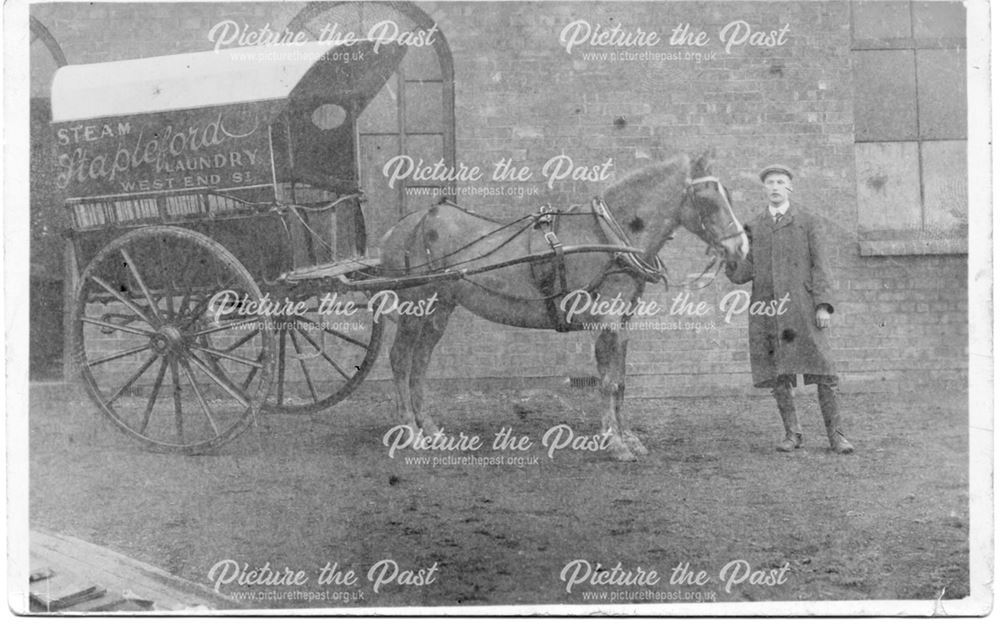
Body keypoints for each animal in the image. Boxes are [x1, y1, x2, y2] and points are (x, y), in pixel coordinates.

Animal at [378, 153, 748, 460]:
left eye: (729, 196)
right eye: (708, 199)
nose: (739, 248)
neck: (608, 237)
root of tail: (403, 226)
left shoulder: (623, 322)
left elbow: (621, 380)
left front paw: (628, 437)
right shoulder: (607, 320)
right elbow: (608, 381)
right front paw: (615, 443)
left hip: (440, 308)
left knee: (420, 362)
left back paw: (431, 429)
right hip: (415, 306)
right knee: (401, 359)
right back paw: (410, 431)